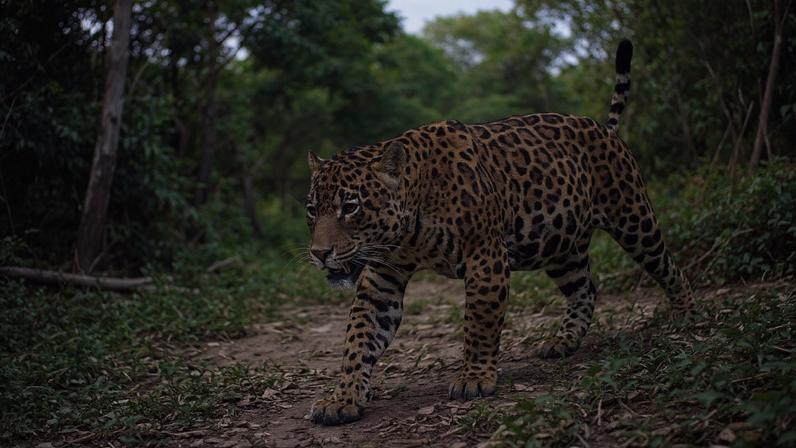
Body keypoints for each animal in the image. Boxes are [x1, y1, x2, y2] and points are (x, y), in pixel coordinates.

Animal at [303, 40, 695, 425]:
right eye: (311, 211)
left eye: (350, 207)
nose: (319, 253)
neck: (413, 221)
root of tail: (605, 128)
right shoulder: (383, 277)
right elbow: (360, 336)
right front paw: (344, 397)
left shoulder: (485, 256)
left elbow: (480, 321)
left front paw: (474, 378)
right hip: (560, 246)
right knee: (585, 289)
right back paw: (563, 341)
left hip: (632, 217)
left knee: (667, 266)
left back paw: (687, 315)